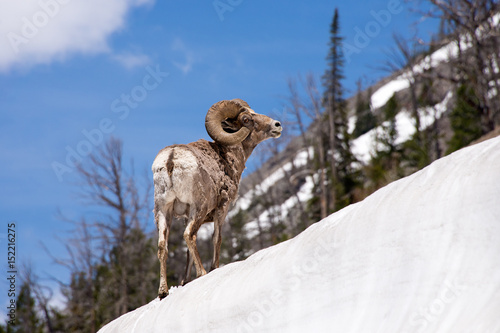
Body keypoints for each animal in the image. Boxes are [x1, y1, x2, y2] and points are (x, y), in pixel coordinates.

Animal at [152, 97, 282, 296]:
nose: (277, 125)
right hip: (198, 208)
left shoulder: (184, 216)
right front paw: (214, 269)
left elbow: (188, 254)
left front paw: (184, 282)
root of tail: (171, 160)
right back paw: (203, 273)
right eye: (246, 119)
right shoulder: (222, 208)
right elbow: (217, 238)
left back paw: (163, 292)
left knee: (162, 246)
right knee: (189, 235)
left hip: (163, 211)